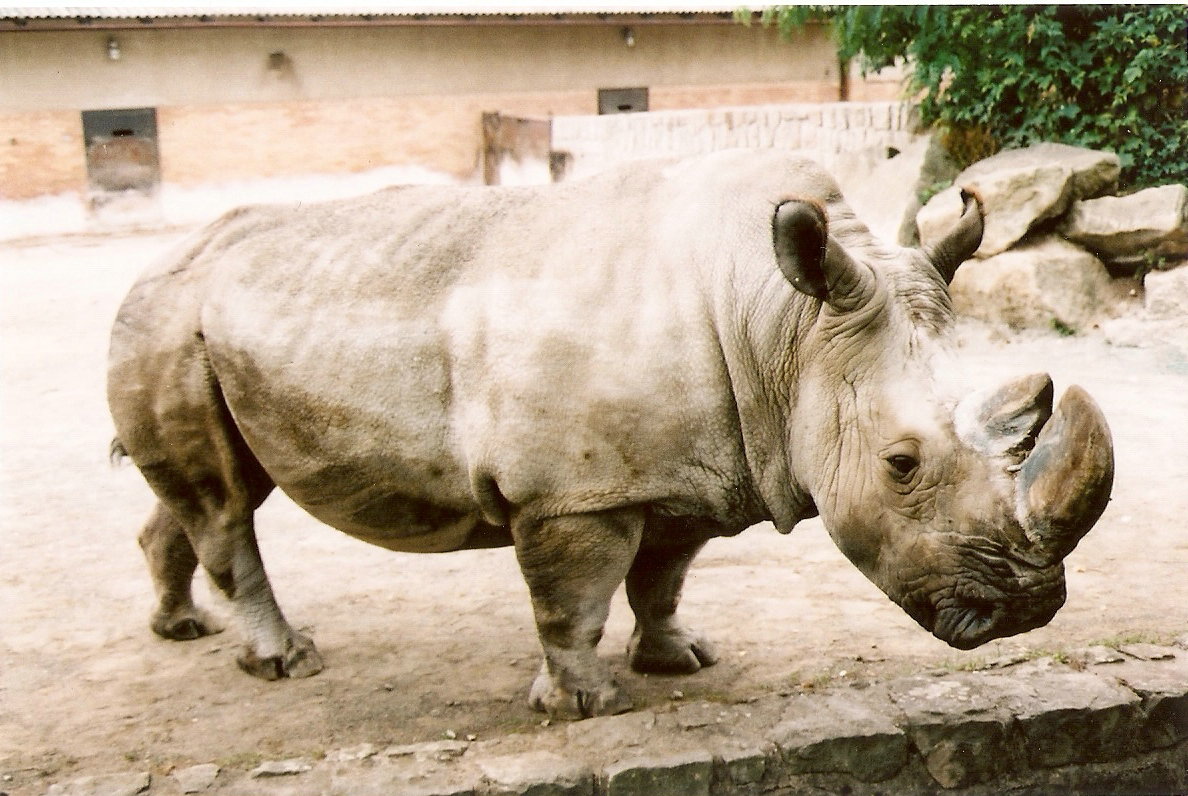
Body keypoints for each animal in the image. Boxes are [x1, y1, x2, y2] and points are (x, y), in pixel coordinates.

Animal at [108, 149, 1113, 719]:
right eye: (901, 465)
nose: (1029, 608)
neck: (785, 327)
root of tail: (158, 260)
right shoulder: (571, 492)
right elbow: (575, 598)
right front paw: (583, 707)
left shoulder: (695, 467)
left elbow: (663, 574)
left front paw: (678, 659)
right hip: (167, 316)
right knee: (224, 505)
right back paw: (284, 663)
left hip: (208, 323)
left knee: (212, 495)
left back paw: (180, 628)